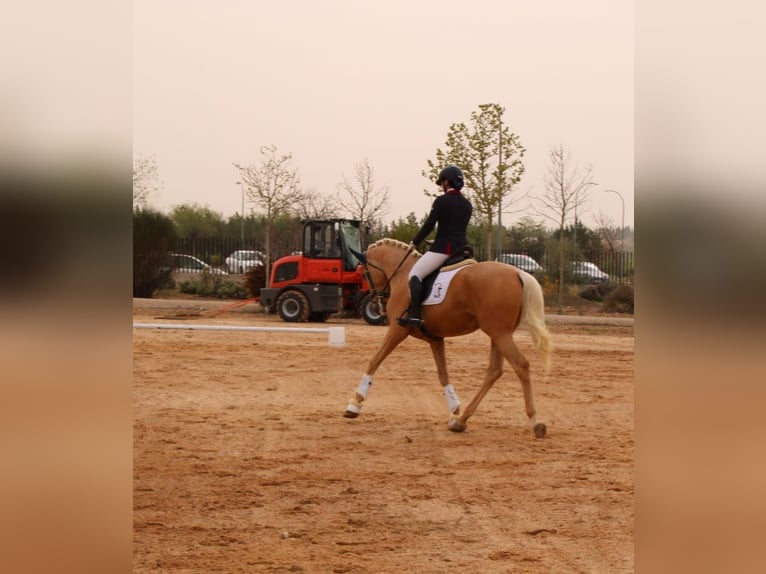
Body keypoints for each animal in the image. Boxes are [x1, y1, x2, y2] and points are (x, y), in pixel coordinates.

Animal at [344, 241, 556, 438]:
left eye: (364, 274)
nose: (374, 301)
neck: (402, 273)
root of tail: (517, 273)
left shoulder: (398, 330)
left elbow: (375, 361)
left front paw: (354, 404)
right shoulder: (435, 339)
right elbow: (443, 374)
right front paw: (454, 410)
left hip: (500, 333)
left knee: (521, 365)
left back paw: (535, 421)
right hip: (498, 334)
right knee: (494, 371)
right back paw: (461, 421)